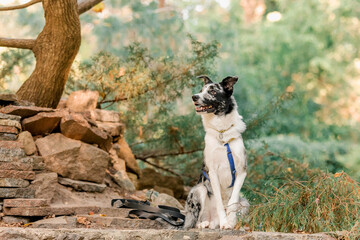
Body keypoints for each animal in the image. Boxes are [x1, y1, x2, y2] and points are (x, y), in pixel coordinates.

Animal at [184, 76, 249, 230]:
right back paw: (204, 224)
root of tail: (213, 221)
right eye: (201, 90)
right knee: (195, 222)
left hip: (245, 202)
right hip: (199, 190)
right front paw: (225, 222)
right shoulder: (212, 172)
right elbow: (219, 202)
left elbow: (232, 202)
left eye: (213, 91)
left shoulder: (241, 171)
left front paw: (230, 222)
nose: (194, 97)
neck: (222, 133)